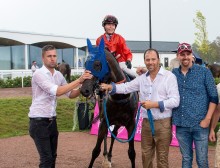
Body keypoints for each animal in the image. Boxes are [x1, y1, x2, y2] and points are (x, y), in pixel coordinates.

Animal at [81, 38, 138, 168]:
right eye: (85, 64)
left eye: (97, 64)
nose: (84, 90)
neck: (120, 96)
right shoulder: (104, 122)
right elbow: (95, 150)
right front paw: (103, 158)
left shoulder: (131, 124)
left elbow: (132, 153)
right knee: (108, 135)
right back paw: (106, 157)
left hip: (118, 122)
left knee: (113, 134)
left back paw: (109, 157)